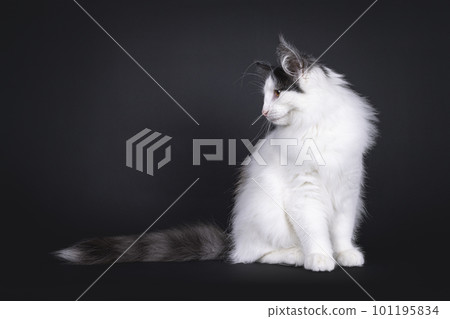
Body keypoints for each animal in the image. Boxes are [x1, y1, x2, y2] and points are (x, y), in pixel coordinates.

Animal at [55, 37, 376, 272]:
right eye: (264, 97)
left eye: (276, 94)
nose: (263, 112)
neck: (315, 124)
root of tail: (233, 241)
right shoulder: (305, 191)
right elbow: (315, 230)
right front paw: (321, 258)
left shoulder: (348, 188)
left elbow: (342, 229)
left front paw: (345, 254)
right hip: (265, 214)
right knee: (255, 254)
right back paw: (295, 255)